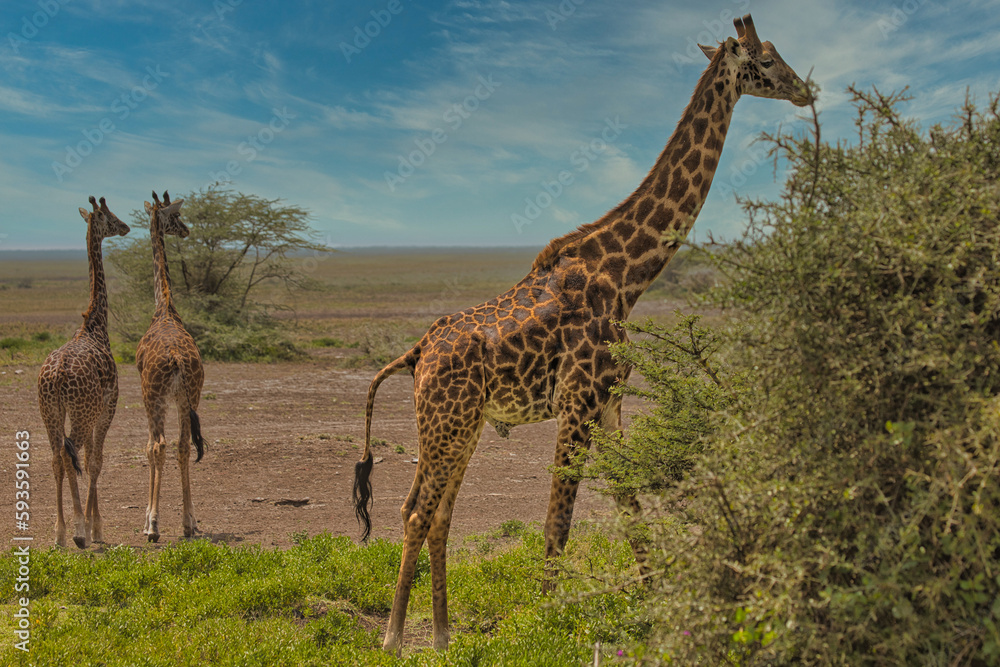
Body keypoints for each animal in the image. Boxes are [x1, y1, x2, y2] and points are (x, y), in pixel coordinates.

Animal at [38, 196, 130, 549]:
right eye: (109, 216)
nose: (125, 226)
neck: (95, 325)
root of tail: (55, 377)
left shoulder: (92, 412)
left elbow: (89, 459)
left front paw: (90, 525)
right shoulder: (106, 408)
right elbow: (95, 461)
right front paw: (95, 528)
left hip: (50, 412)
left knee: (55, 458)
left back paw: (60, 533)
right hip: (78, 413)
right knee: (69, 455)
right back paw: (76, 531)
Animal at [353, 14, 812, 654]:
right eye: (766, 61)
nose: (805, 90)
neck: (628, 276)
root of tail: (417, 353)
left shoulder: (608, 403)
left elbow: (632, 507)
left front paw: (655, 604)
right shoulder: (575, 402)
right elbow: (557, 524)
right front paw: (543, 624)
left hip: (462, 424)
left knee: (434, 512)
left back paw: (443, 637)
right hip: (445, 422)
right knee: (417, 511)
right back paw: (394, 638)